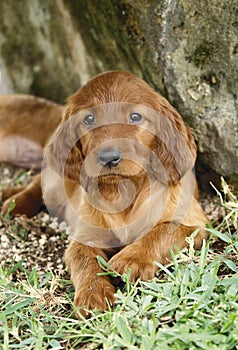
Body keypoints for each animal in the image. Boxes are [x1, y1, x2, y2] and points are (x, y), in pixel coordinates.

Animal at [0, 70, 208, 314]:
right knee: (37, 185)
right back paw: (14, 203)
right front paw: (93, 294)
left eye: (135, 117)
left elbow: (161, 232)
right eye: (89, 119)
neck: (123, 190)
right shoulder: (85, 236)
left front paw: (131, 260)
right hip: (54, 184)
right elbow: (84, 258)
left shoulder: (195, 224)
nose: (108, 158)